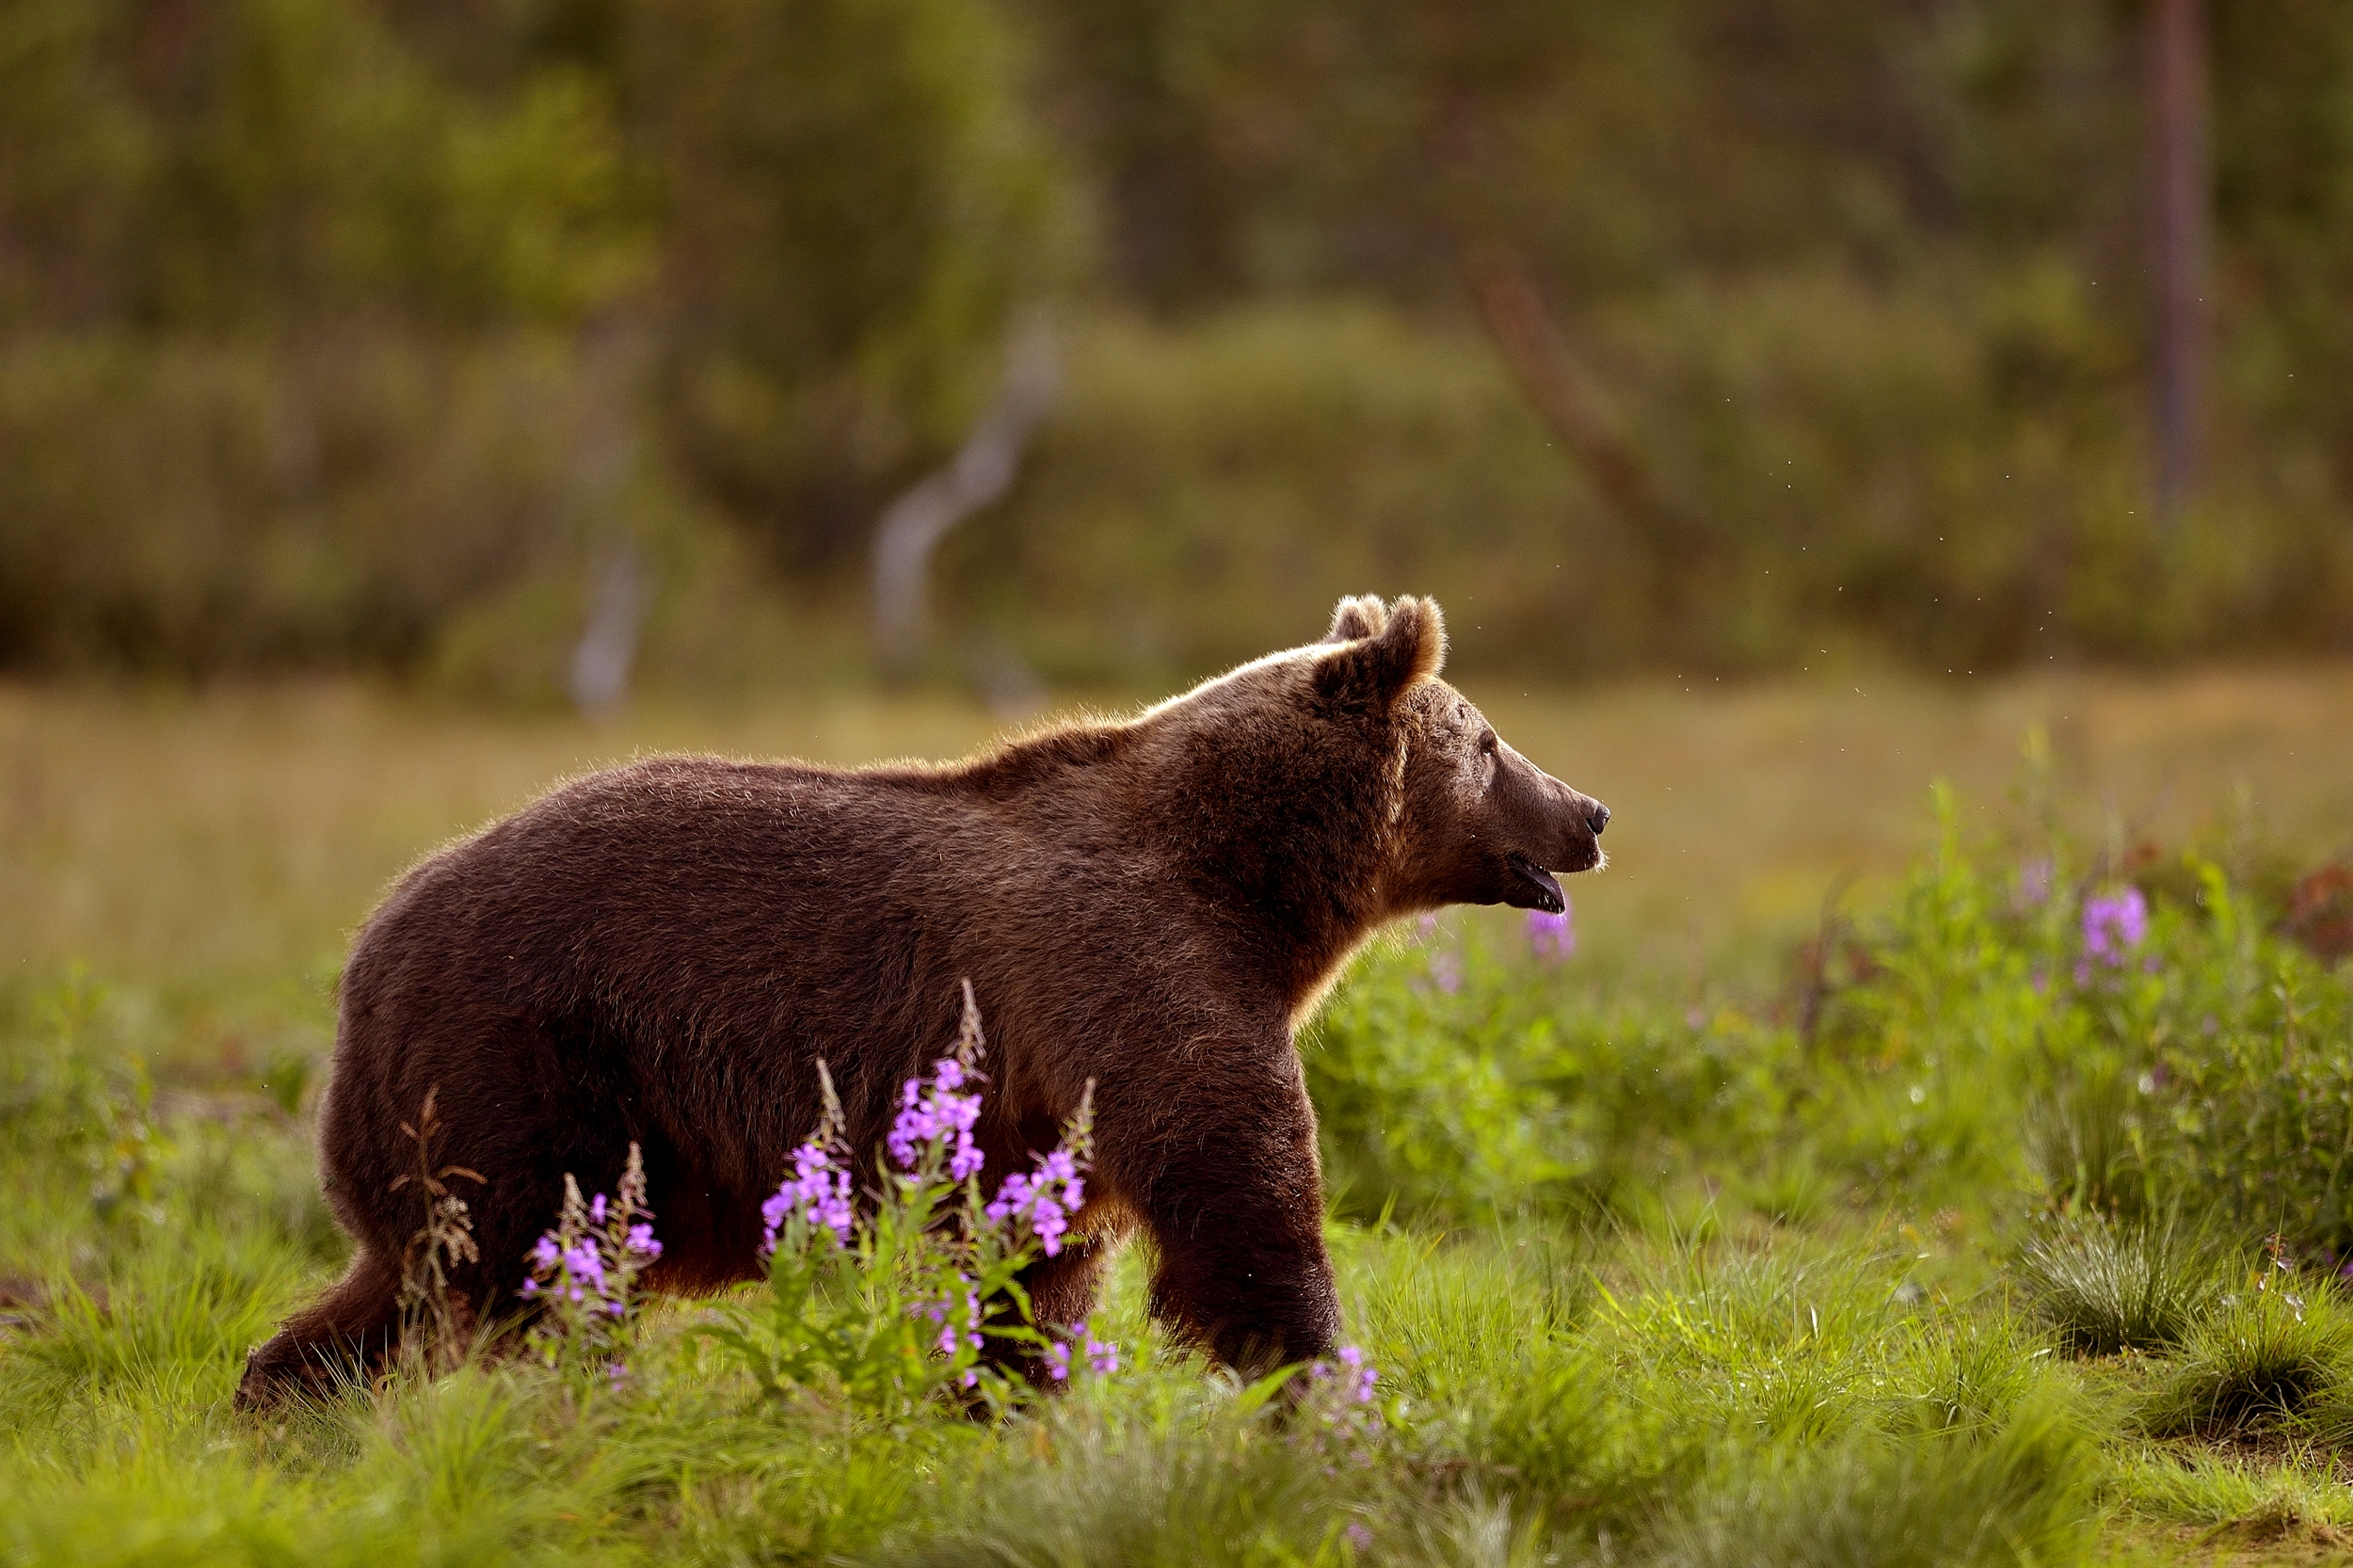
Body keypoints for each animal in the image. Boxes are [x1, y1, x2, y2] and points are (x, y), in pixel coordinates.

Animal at [236, 594, 1608, 1405]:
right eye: (1489, 741)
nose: (1589, 809)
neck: (1263, 893)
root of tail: (365, 951)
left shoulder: (1057, 1103)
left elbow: (1046, 1274)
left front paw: (1008, 1399)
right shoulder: (1133, 975)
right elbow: (1240, 1204)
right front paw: (1322, 1382)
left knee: (405, 1281)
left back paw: (281, 1405)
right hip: (530, 1055)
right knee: (521, 1273)